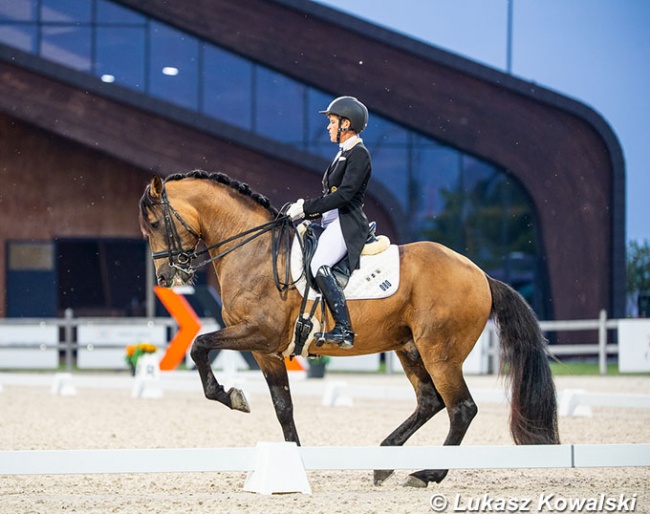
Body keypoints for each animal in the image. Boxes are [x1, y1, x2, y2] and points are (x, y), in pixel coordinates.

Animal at [139, 168, 560, 484]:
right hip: (408, 348)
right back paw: (385, 462)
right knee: (430, 401)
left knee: (461, 409)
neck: (254, 253)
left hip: (440, 352)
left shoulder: (258, 333)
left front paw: (231, 395)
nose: (165, 277)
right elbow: (283, 407)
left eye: (156, 223)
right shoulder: (266, 350)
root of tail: (481, 275)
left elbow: (199, 345)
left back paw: (428, 474)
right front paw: (293, 460)